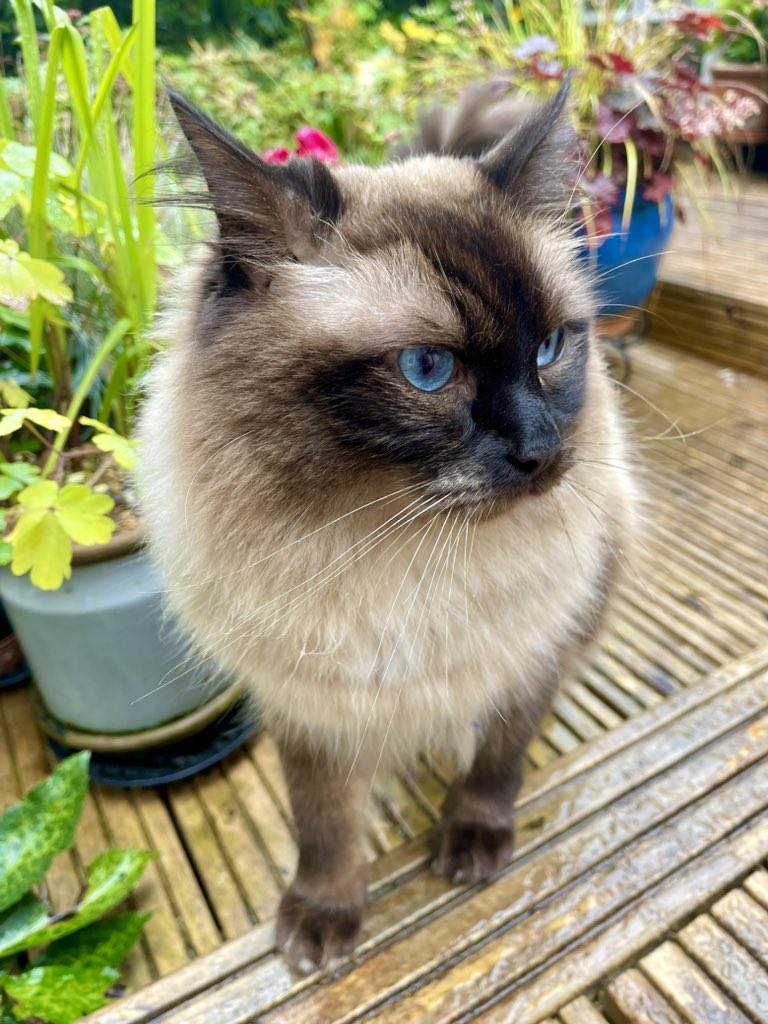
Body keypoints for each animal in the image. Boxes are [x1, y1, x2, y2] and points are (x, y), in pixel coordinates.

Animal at [140, 83, 638, 970]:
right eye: (427, 370)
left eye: (550, 349)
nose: (541, 453)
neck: (396, 546)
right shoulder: (312, 707)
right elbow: (326, 826)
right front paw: (323, 922)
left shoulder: (531, 654)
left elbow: (497, 763)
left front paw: (472, 846)